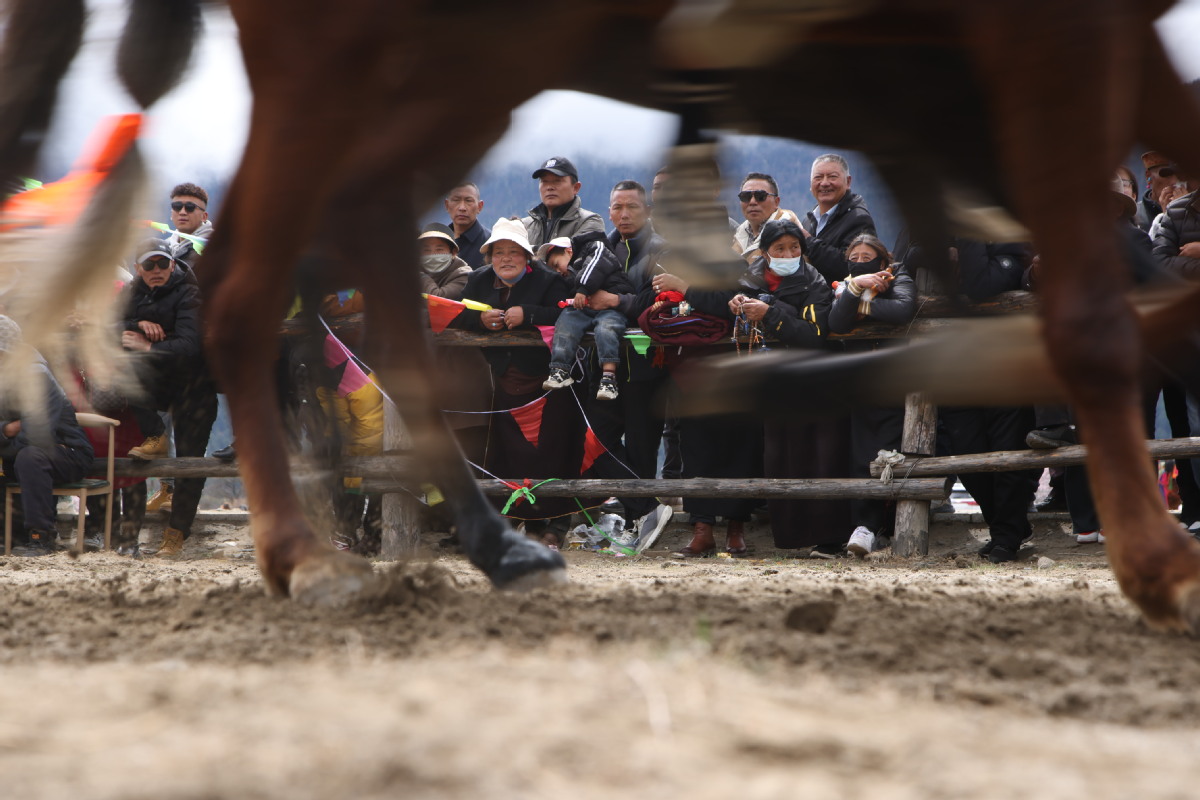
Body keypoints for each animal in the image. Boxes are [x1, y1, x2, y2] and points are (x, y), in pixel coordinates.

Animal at [7, 0, 1200, 628]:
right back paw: (313, 548)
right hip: (363, 58)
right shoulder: (1044, 39)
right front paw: (1163, 563)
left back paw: (483, 537)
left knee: (352, 252)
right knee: (269, 278)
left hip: (452, 60)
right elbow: (1095, 317)